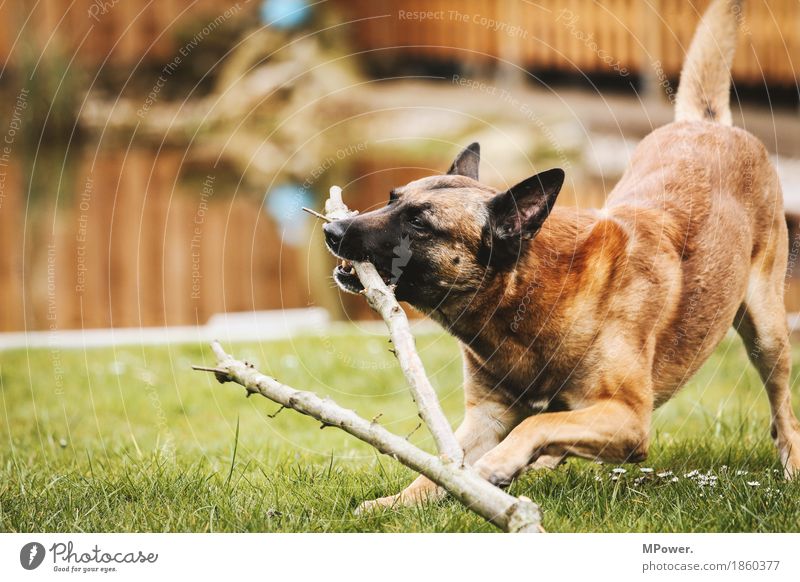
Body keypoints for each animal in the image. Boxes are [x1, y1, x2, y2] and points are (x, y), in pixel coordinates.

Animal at [324, 0, 800, 512]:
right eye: (391, 199)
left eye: (418, 223)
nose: (332, 229)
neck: (526, 299)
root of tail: (707, 123)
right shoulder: (487, 419)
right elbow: (441, 467)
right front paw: (393, 503)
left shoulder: (629, 417)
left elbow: (538, 422)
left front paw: (500, 465)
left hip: (768, 332)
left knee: (783, 410)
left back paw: (792, 465)